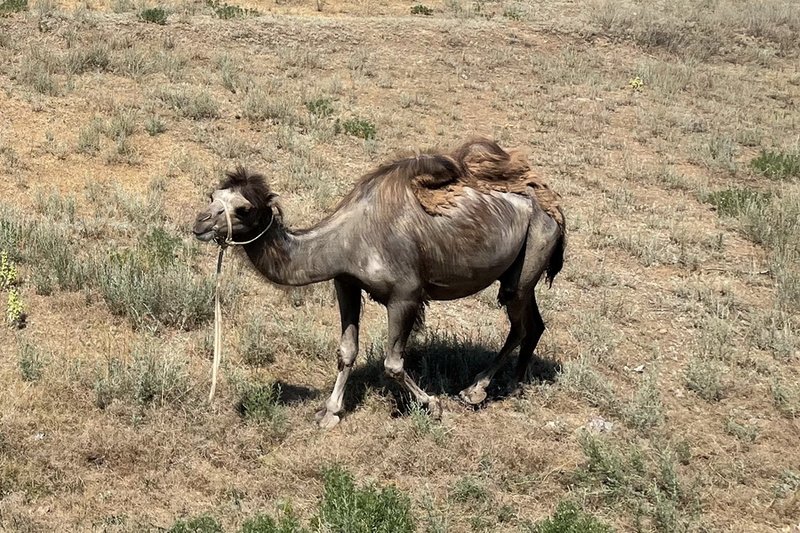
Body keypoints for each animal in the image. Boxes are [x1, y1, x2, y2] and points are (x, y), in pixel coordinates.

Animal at [191, 137, 564, 428]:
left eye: (242, 209)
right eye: (212, 195)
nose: (200, 223)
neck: (346, 239)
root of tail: (551, 202)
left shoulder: (405, 295)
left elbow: (392, 364)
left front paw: (432, 405)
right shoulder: (345, 282)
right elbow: (346, 351)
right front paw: (330, 412)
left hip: (534, 246)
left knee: (520, 323)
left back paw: (478, 390)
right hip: (521, 267)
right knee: (534, 323)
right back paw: (513, 385)